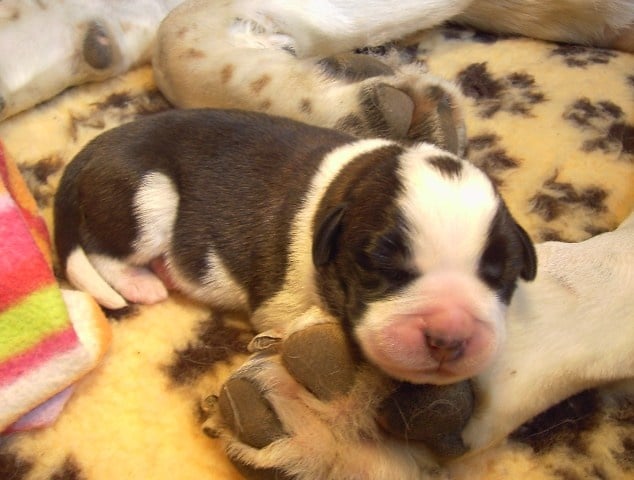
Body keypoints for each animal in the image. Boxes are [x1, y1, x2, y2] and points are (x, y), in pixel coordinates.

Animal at [56, 107, 536, 384]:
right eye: (381, 265)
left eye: (500, 276)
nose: (448, 339)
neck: (349, 182)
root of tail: (92, 147)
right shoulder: (279, 306)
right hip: (149, 197)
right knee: (102, 251)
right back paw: (142, 283)